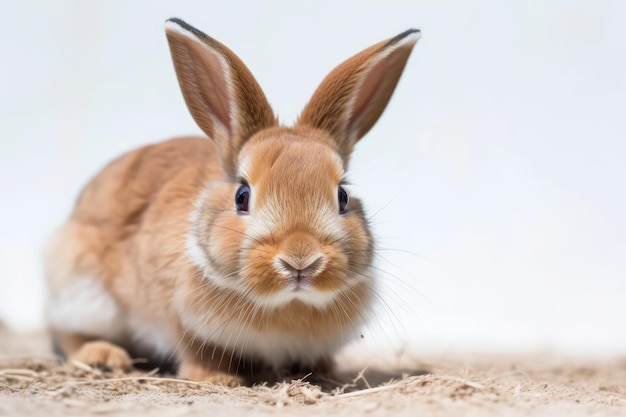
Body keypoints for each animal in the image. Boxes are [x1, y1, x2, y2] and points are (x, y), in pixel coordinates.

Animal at [45, 17, 420, 386]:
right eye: (242, 196)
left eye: (342, 196)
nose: (301, 260)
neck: (286, 305)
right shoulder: (182, 321)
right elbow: (197, 351)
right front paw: (217, 379)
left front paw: (325, 374)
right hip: (84, 290)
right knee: (66, 331)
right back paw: (103, 357)